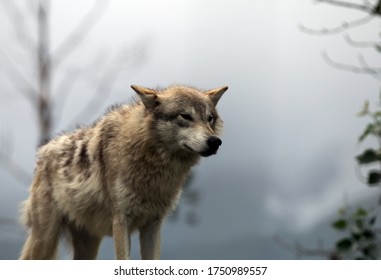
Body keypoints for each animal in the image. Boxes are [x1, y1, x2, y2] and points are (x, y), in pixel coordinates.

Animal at [18, 84, 226, 260]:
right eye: (185, 116)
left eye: (209, 118)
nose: (215, 142)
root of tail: (43, 151)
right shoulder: (120, 221)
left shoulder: (153, 223)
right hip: (44, 241)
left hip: (88, 244)